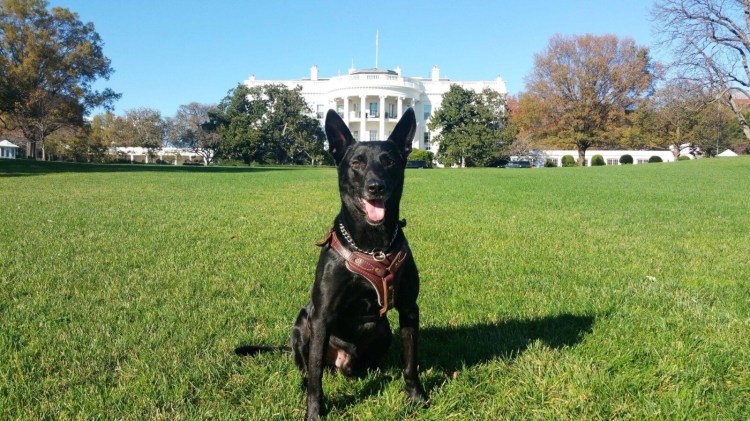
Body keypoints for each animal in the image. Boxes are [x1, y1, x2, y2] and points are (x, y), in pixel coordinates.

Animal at [241, 107, 428, 416]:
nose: (375, 187)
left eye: (389, 161)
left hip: (384, 330)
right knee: (307, 368)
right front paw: (315, 412)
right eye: (357, 162)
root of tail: (343, 363)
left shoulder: (409, 309)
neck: (372, 246)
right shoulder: (322, 316)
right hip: (302, 324)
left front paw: (415, 397)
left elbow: (411, 361)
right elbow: (316, 373)